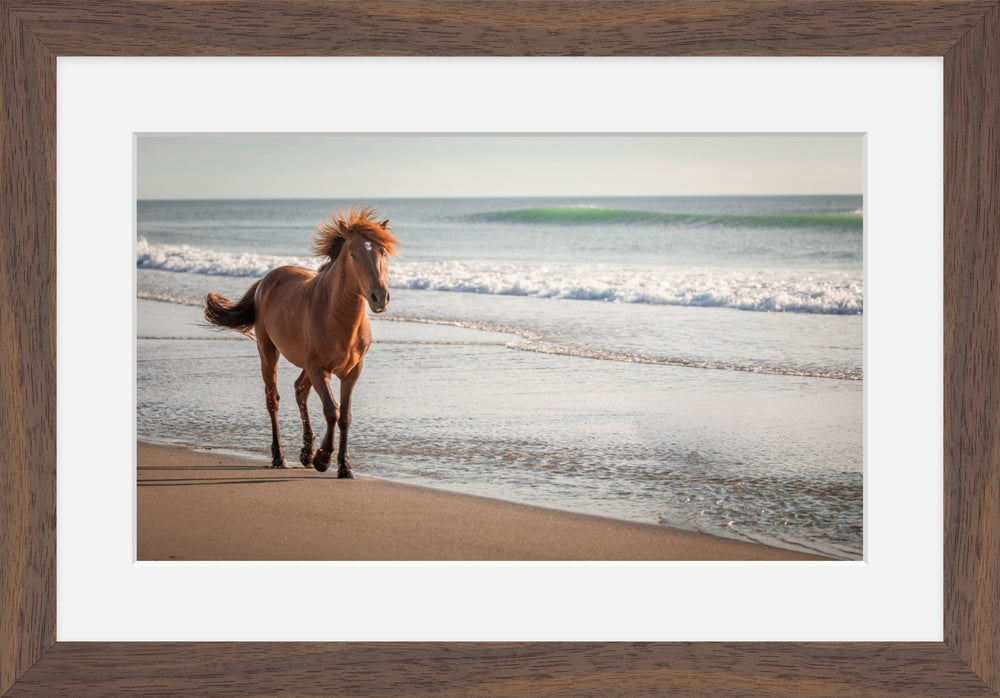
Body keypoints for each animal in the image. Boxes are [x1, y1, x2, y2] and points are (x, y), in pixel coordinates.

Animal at [204, 205, 399, 478]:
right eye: (354, 255)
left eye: (383, 252)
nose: (379, 297)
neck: (337, 317)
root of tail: (267, 279)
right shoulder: (319, 370)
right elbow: (331, 410)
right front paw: (323, 459)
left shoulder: (352, 371)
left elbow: (345, 416)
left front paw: (344, 466)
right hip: (268, 351)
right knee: (273, 399)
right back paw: (280, 457)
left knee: (299, 390)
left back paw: (305, 453)